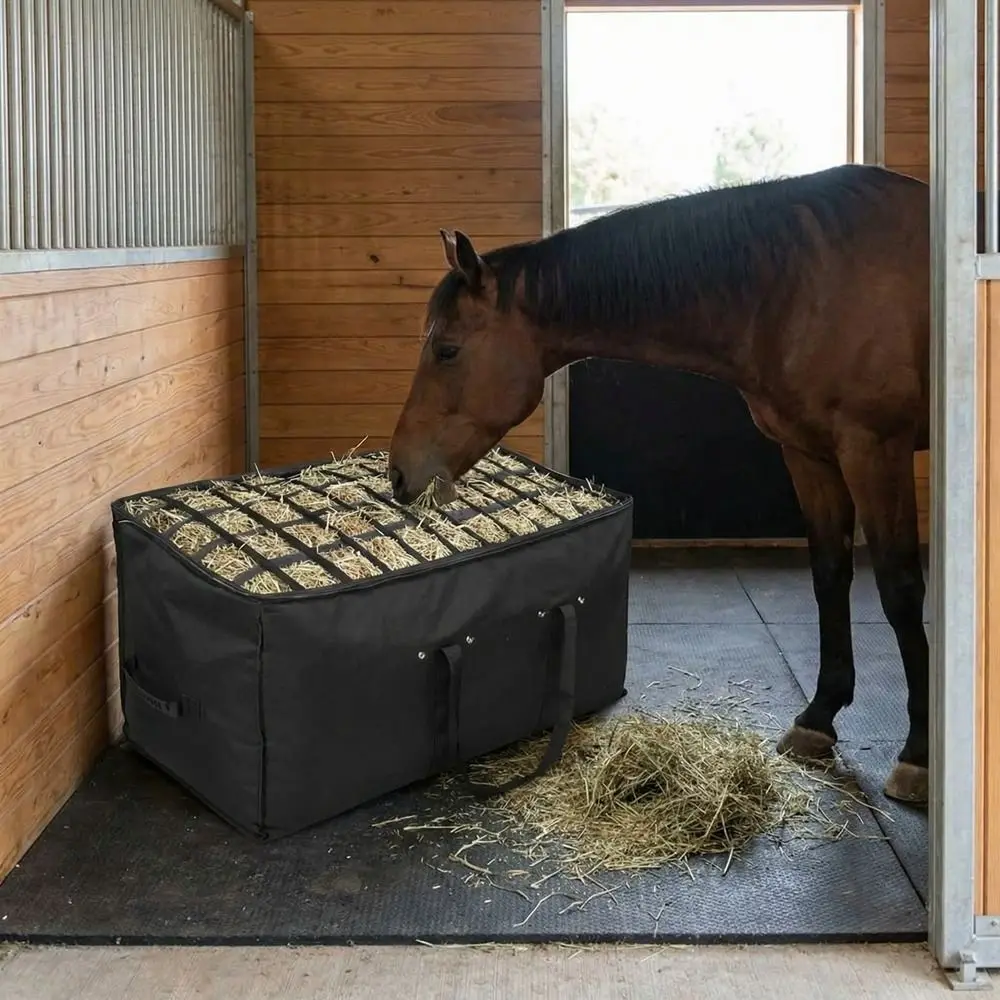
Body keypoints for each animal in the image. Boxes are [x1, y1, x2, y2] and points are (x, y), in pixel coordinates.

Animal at [387, 163, 931, 806]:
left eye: (447, 350)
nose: (400, 474)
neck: (800, 285)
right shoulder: (808, 454)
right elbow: (829, 576)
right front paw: (818, 718)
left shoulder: (876, 450)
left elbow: (900, 591)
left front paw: (919, 755)